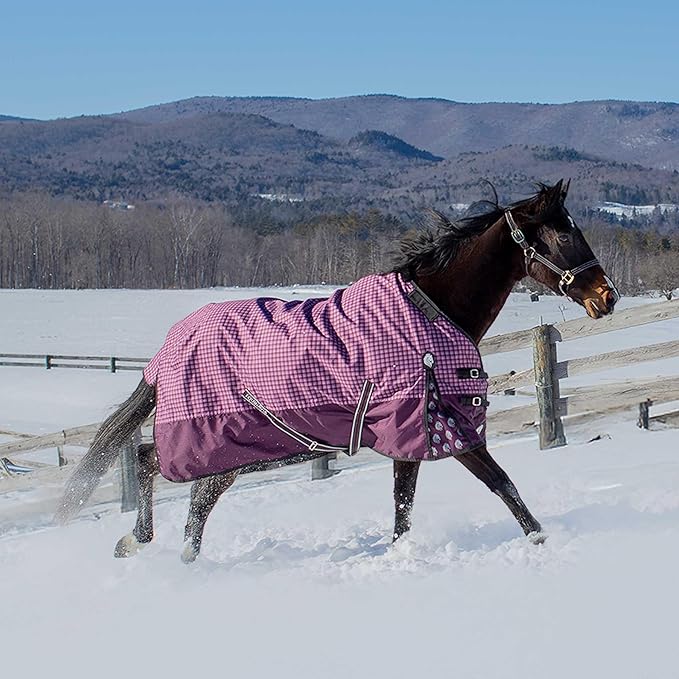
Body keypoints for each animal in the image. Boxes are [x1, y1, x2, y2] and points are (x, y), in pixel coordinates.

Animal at [55, 180, 618, 562]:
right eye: (562, 237)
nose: (606, 297)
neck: (429, 311)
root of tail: (164, 353)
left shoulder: (411, 434)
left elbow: (404, 507)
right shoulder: (443, 426)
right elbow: (501, 484)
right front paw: (543, 541)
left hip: (236, 447)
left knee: (195, 497)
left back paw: (174, 555)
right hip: (212, 439)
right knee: (150, 461)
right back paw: (137, 543)